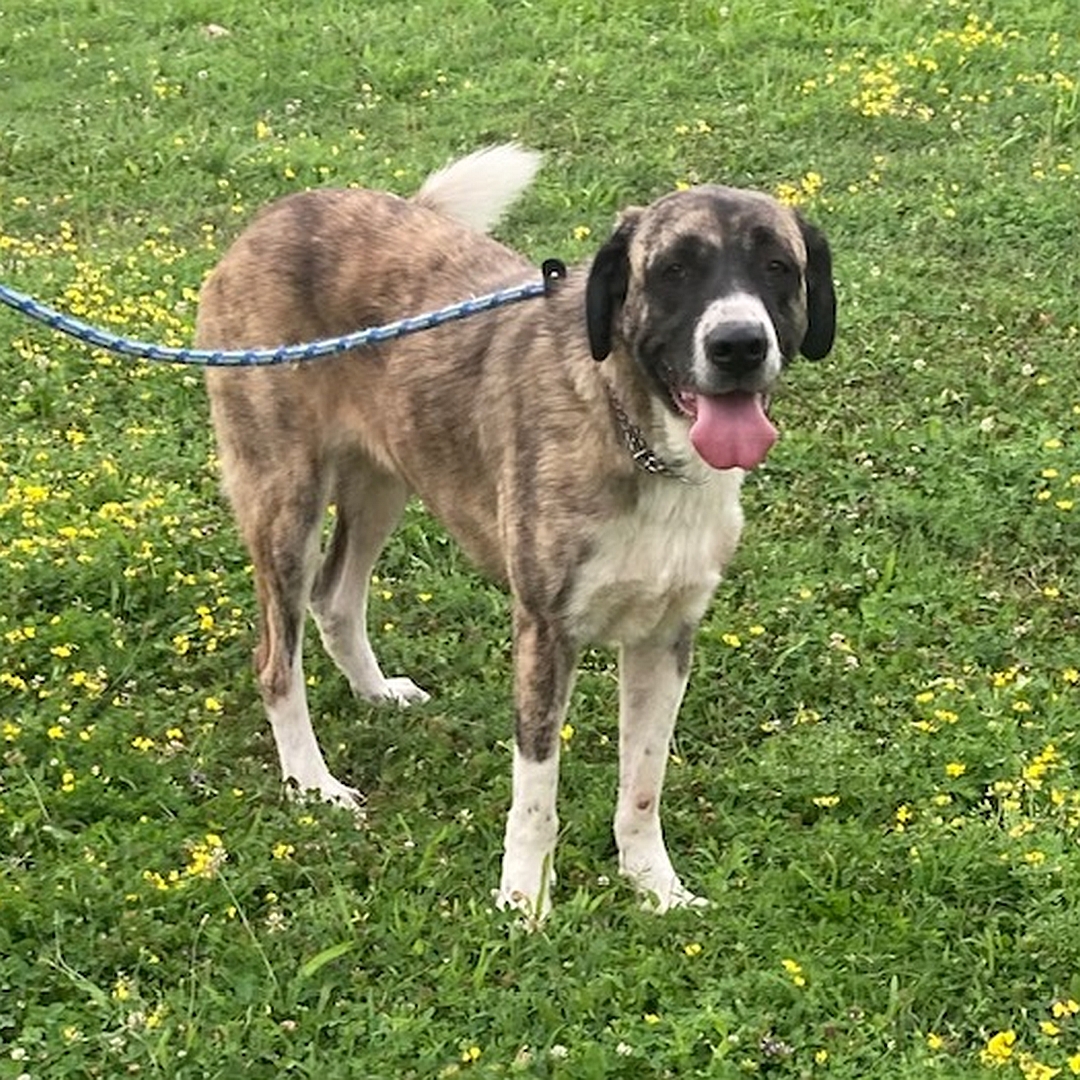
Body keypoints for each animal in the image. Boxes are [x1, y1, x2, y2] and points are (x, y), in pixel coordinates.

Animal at [196, 143, 833, 915]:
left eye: (777, 266)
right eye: (673, 271)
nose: (738, 345)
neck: (636, 434)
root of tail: (281, 213)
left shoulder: (665, 636)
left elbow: (642, 788)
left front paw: (655, 887)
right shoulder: (545, 630)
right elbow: (537, 792)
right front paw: (524, 903)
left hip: (385, 479)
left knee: (336, 597)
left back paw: (374, 692)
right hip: (284, 497)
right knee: (276, 660)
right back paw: (312, 783)